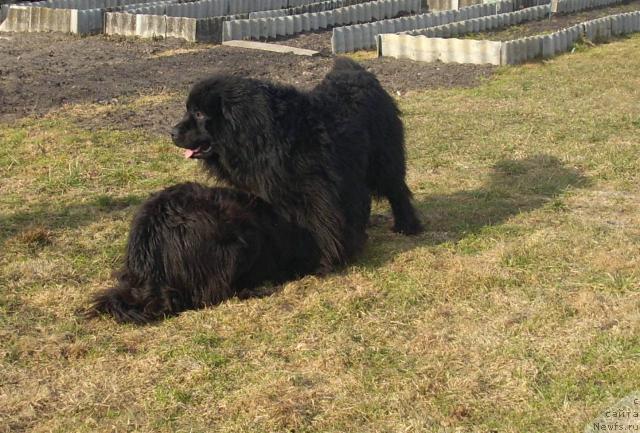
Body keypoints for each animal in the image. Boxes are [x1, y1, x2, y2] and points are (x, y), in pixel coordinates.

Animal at [172, 57, 422, 274]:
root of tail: (359, 72)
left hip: (383, 159)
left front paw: (325, 261)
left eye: (199, 113)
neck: (261, 135)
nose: (172, 132)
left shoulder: (315, 192)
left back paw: (406, 225)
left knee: (396, 191)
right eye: (188, 110)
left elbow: (322, 225)